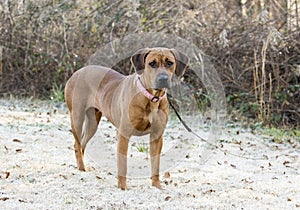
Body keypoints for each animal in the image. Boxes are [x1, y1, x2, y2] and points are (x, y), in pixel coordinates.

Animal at [64, 47, 189, 190]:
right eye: (152, 63)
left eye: (169, 63)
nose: (163, 78)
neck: (151, 98)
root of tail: (77, 72)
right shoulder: (124, 134)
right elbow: (123, 164)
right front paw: (122, 187)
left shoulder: (157, 136)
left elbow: (155, 164)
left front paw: (156, 185)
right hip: (77, 117)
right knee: (77, 144)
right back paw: (81, 169)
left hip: (92, 123)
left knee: (83, 144)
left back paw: (83, 168)